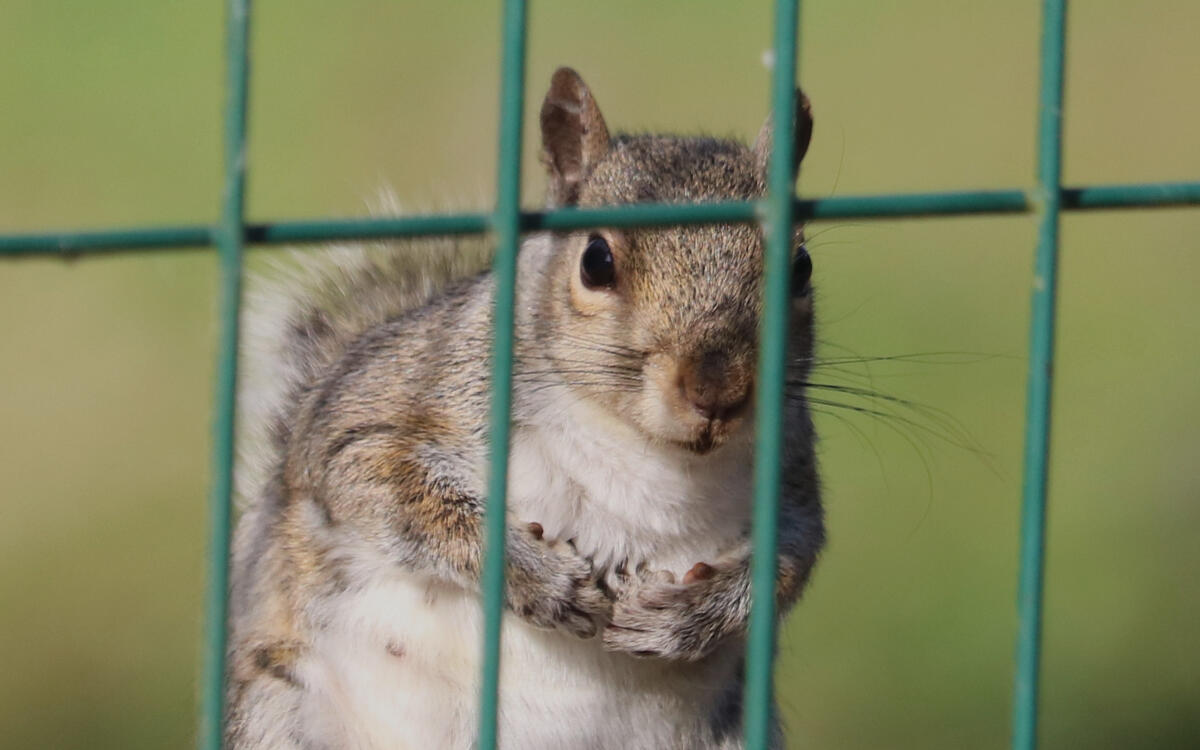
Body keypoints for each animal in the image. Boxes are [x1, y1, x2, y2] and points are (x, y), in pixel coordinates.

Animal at [225, 67, 825, 744]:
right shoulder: (379, 406)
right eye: (596, 260)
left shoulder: (793, 481)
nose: (717, 390)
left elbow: (790, 560)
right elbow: (372, 478)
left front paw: (686, 619)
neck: (648, 453)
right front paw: (541, 578)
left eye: (801, 267)